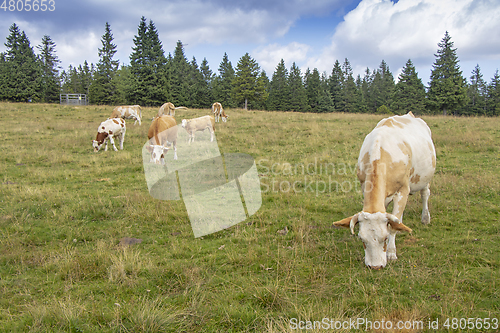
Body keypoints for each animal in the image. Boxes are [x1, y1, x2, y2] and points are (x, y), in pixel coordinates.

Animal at [334, 111, 436, 270]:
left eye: (385, 237)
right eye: (361, 239)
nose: (375, 267)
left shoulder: (403, 191)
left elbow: (394, 225)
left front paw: (391, 252)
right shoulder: (365, 187)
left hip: (425, 177)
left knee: (425, 194)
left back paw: (425, 218)